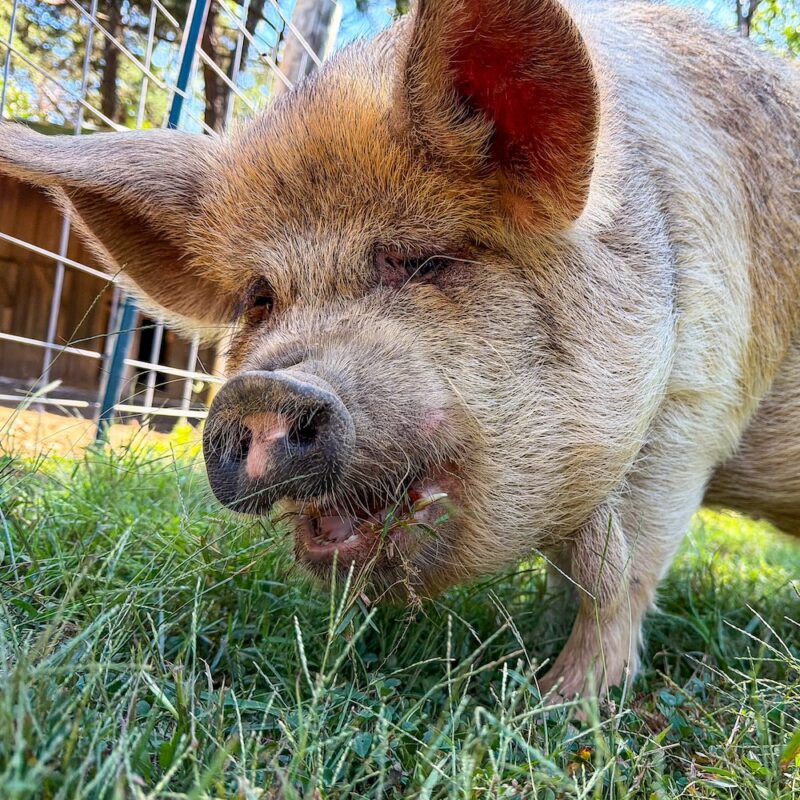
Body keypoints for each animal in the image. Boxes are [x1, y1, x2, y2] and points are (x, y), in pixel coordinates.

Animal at [1, 0, 798, 699]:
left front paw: (561, 705)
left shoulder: (692, 406)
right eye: (260, 297)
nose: (262, 392)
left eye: (423, 261)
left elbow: (616, 575)